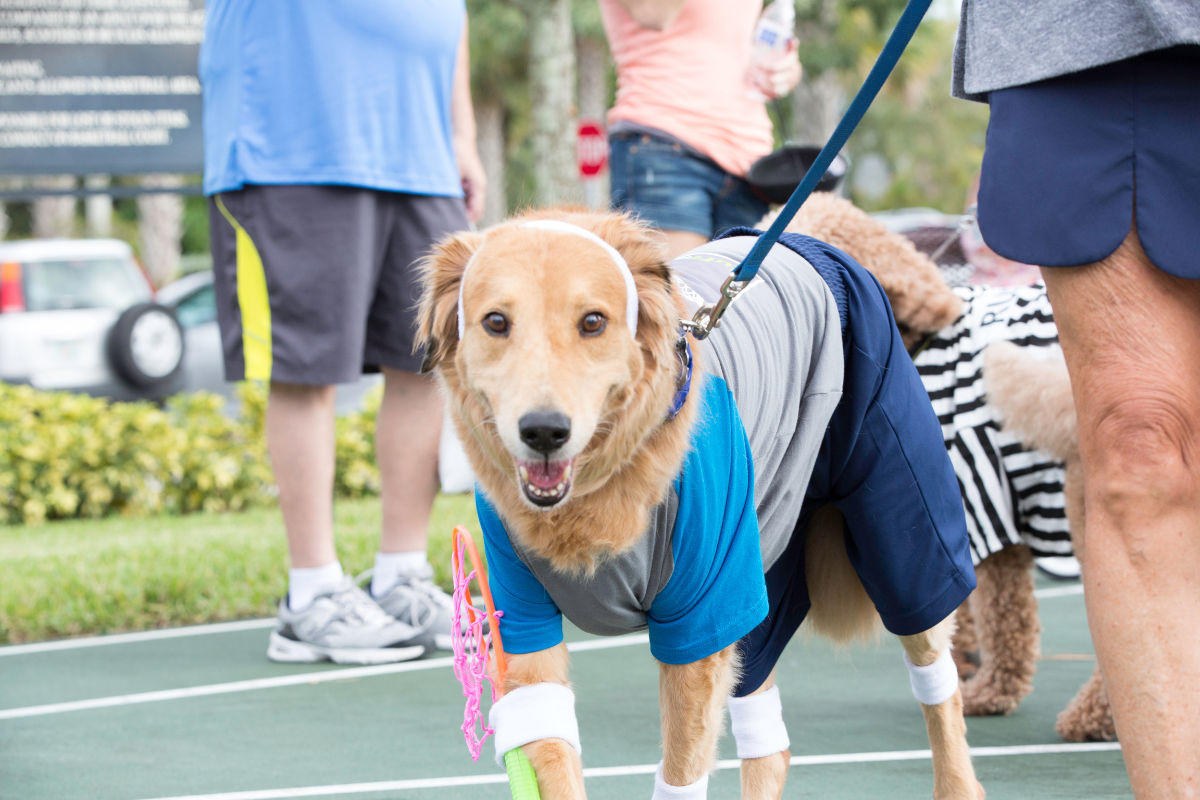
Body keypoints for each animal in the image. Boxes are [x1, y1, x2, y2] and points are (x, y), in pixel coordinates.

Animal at [417, 209, 979, 796]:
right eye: (495, 322)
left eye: (592, 322)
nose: (544, 431)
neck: (601, 492)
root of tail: (807, 234)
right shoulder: (524, 624)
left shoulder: (701, 622)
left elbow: (682, 773)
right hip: (759, 579)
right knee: (770, 740)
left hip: (900, 549)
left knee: (937, 677)